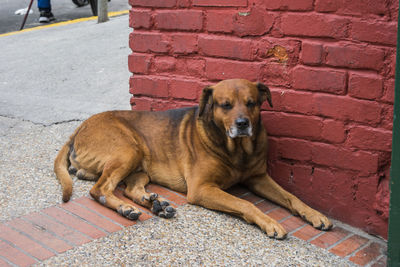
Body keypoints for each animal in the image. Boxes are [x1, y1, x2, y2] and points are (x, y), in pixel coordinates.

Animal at [54, 78, 332, 240]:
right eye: (225, 105)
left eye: (252, 103)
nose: (243, 124)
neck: (236, 149)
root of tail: (78, 128)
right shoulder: (202, 189)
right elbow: (245, 204)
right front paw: (268, 222)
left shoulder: (259, 178)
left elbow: (292, 197)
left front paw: (314, 214)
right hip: (128, 150)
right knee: (99, 189)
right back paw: (125, 208)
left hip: (141, 164)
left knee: (130, 187)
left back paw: (154, 203)